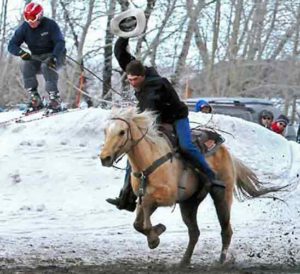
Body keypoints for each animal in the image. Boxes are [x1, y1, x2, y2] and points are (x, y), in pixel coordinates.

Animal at [99, 107, 282, 266]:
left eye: (122, 132)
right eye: (105, 131)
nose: (105, 158)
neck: (149, 160)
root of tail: (225, 150)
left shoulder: (166, 197)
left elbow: (145, 217)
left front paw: (155, 235)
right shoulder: (144, 197)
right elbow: (138, 223)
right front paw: (155, 234)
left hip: (222, 196)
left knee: (226, 230)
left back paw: (222, 261)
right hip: (189, 204)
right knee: (194, 232)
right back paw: (184, 261)